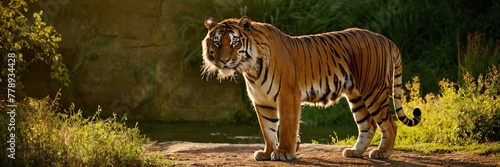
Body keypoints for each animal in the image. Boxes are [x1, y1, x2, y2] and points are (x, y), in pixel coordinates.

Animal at [201, 16, 420, 161]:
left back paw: (382, 153)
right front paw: (266, 152)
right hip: (357, 96)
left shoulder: (288, 95)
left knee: (390, 124)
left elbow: (287, 126)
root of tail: (386, 39)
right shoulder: (262, 101)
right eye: (217, 42)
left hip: (373, 92)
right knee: (368, 125)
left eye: (234, 42)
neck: (251, 68)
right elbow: (268, 129)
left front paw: (283, 153)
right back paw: (355, 152)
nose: (224, 60)